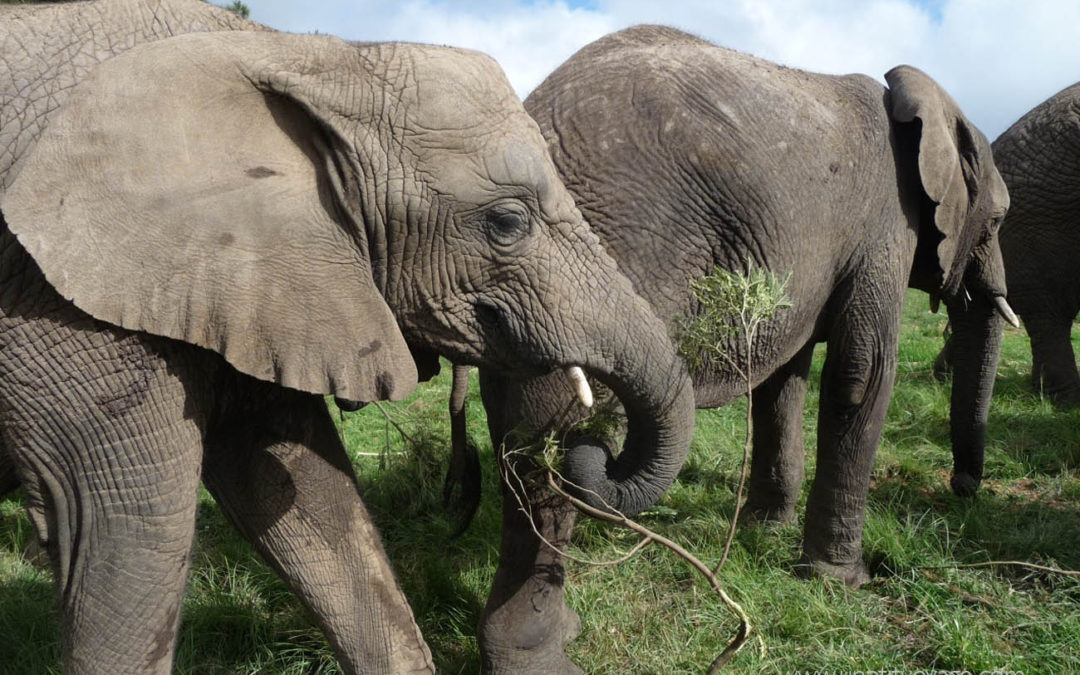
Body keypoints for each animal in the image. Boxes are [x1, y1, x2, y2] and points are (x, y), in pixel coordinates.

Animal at [0, 2, 695, 669]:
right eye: (507, 222)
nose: (590, 449)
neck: (310, 55)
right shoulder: (58, 297)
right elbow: (126, 528)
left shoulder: (253, 281)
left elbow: (301, 490)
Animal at [436, 23, 1010, 669]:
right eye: (996, 222)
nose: (963, 489)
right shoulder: (887, 225)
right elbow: (863, 372)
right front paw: (840, 581)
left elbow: (784, 378)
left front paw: (766, 528)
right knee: (553, 430)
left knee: (518, 430)